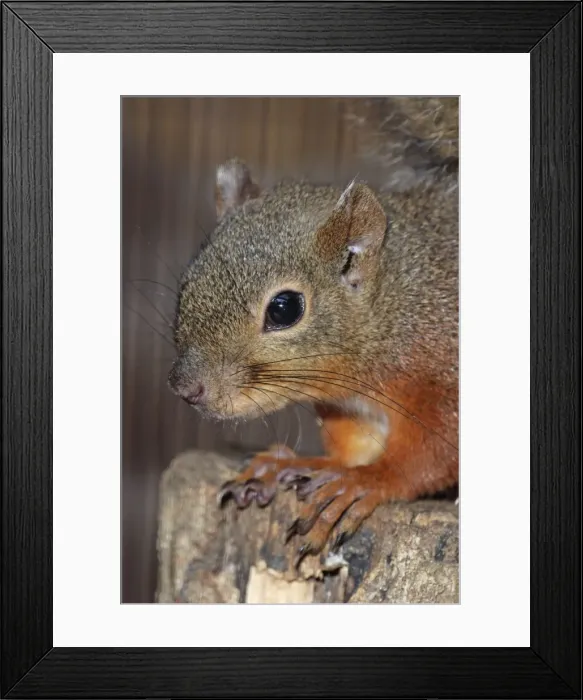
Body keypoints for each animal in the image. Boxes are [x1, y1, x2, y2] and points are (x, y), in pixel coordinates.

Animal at [168, 97, 458, 561]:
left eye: (285, 308)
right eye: (187, 283)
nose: (186, 388)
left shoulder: (445, 377)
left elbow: (431, 455)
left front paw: (366, 482)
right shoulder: (349, 409)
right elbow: (352, 446)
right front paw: (296, 464)